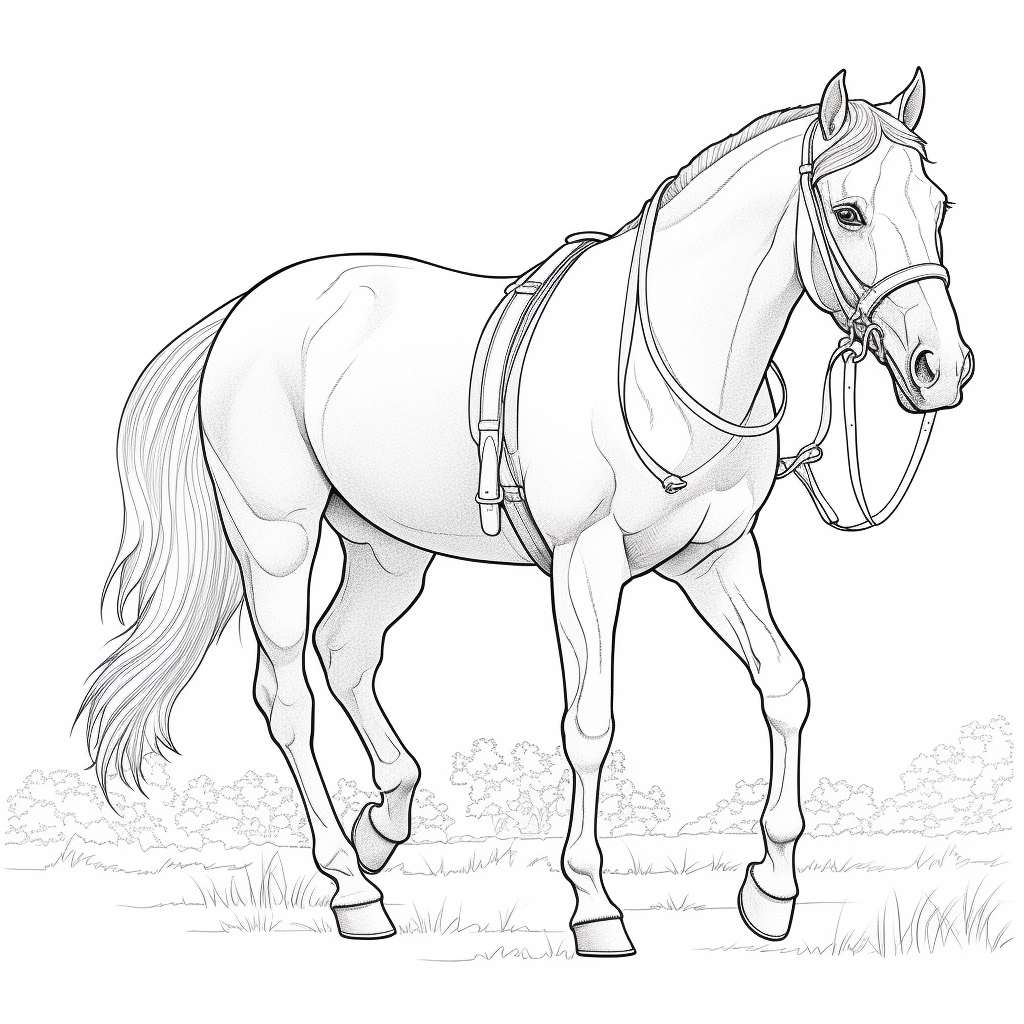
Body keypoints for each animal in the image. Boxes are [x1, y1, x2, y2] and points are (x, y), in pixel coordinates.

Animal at [80, 68, 972, 956]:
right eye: (849, 211)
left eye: (939, 205)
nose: (940, 368)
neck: (665, 368)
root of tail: (242, 311)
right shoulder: (586, 564)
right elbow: (590, 724)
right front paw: (595, 907)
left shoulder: (715, 556)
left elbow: (784, 686)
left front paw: (772, 889)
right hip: (277, 542)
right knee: (287, 698)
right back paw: (351, 888)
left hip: (388, 549)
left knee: (346, 651)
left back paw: (383, 826)